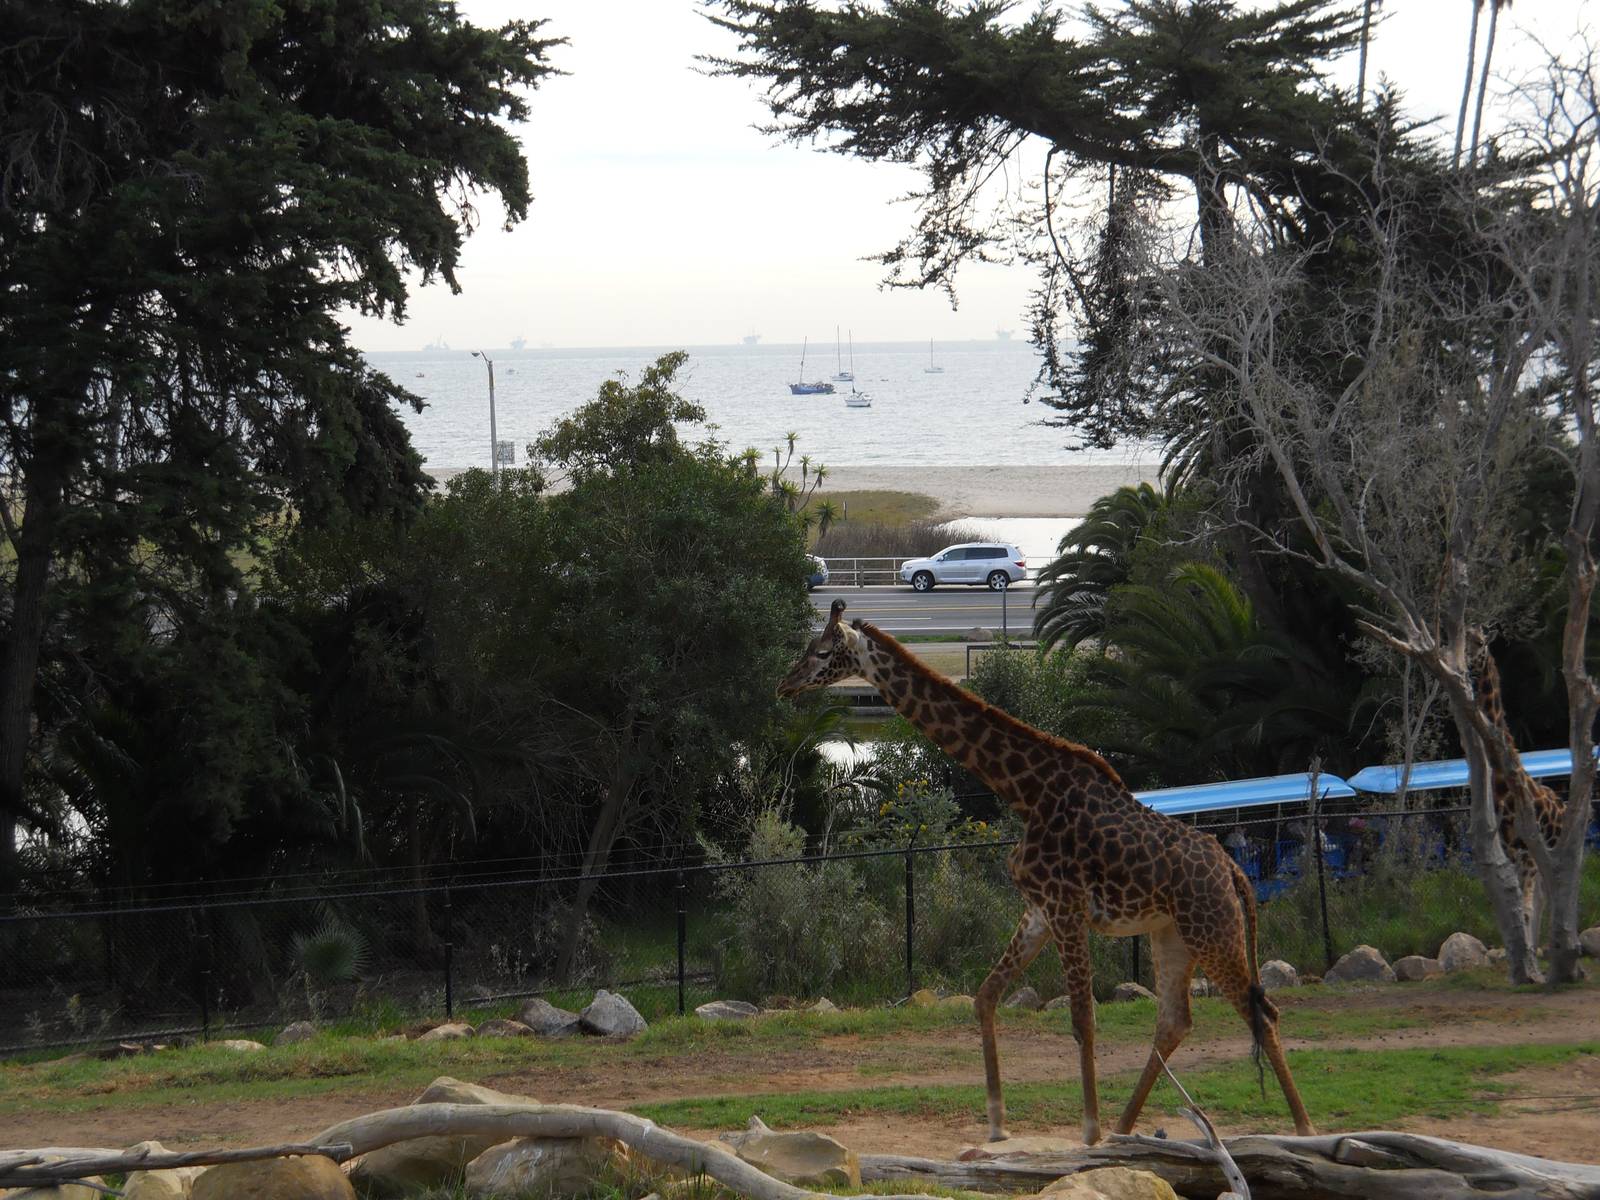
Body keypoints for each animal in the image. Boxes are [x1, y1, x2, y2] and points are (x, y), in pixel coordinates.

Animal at [778, 600, 1314, 1145]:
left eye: (820, 650)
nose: (786, 684)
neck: (1026, 792)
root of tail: (1233, 872)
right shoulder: (1038, 909)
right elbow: (985, 997)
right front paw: (997, 1126)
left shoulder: (1066, 906)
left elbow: (1082, 1019)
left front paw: (1089, 1134)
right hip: (1173, 933)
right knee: (1174, 1021)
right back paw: (1126, 1129)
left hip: (1213, 928)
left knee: (1262, 1013)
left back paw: (1303, 1129)